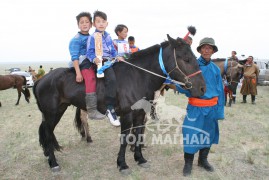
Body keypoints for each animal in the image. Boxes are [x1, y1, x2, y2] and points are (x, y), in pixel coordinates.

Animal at [33, 34, 205, 174]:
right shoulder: (127, 115)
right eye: (186, 59)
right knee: (47, 133)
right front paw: (122, 164)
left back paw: (49, 154)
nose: (202, 88)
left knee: (48, 132)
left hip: (58, 111)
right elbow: (125, 139)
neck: (138, 76)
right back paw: (54, 163)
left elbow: (137, 135)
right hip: (51, 113)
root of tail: (41, 80)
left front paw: (140, 158)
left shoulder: (140, 114)